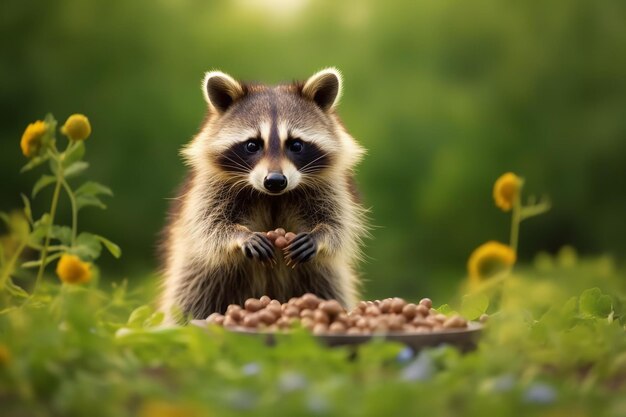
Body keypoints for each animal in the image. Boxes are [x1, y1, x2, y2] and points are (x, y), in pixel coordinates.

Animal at [158, 67, 368, 322]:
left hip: (320, 276)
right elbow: (209, 225)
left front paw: (320, 235)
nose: (275, 181)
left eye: (296, 145)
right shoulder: (210, 186)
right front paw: (240, 236)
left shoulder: (329, 185)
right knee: (190, 299)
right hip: (198, 273)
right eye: (252, 145)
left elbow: (337, 223)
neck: (272, 196)